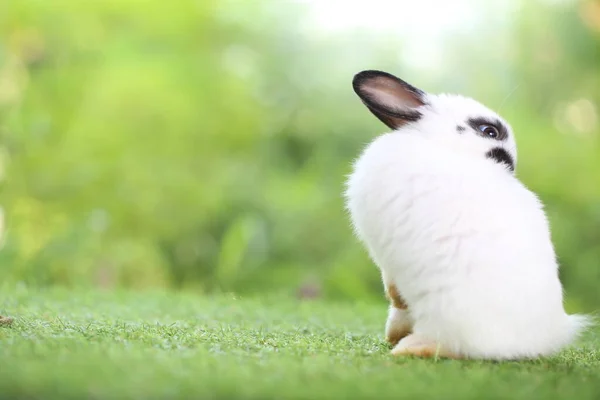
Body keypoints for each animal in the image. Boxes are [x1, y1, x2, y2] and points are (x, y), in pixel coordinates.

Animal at [344, 69, 588, 360]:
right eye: (489, 131)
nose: (509, 166)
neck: (440, 144)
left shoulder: (385, 256)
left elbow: (391, 284)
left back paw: (406, 348)